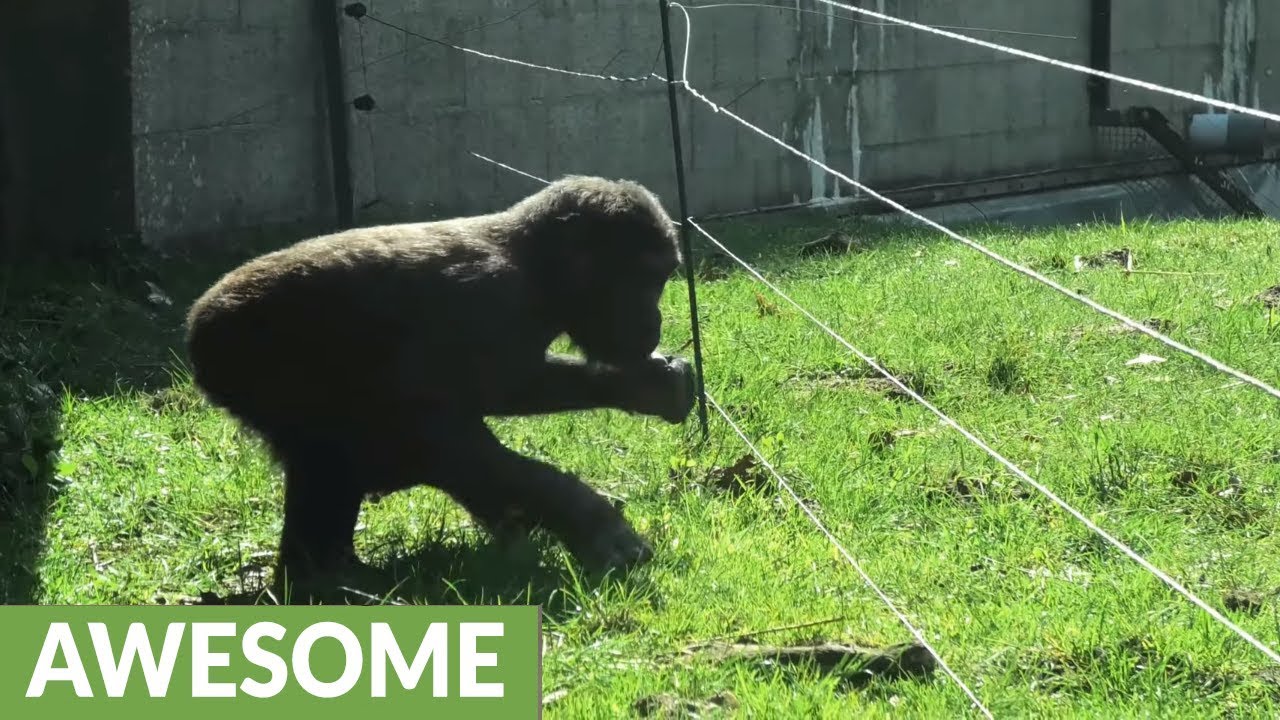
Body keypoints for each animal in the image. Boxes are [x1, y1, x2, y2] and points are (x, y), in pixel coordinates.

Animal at [184, 175, 697, 586]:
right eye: (645, 280)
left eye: (661, 279)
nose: (653, 321)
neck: (537, 269)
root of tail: (196, 322)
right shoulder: (488, 297)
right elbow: (473, 411)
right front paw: (590, 518)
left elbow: (507, 392)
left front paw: (648, 386)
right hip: (247, 357)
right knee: (392, 445)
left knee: (331, 462)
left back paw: (322, 574)